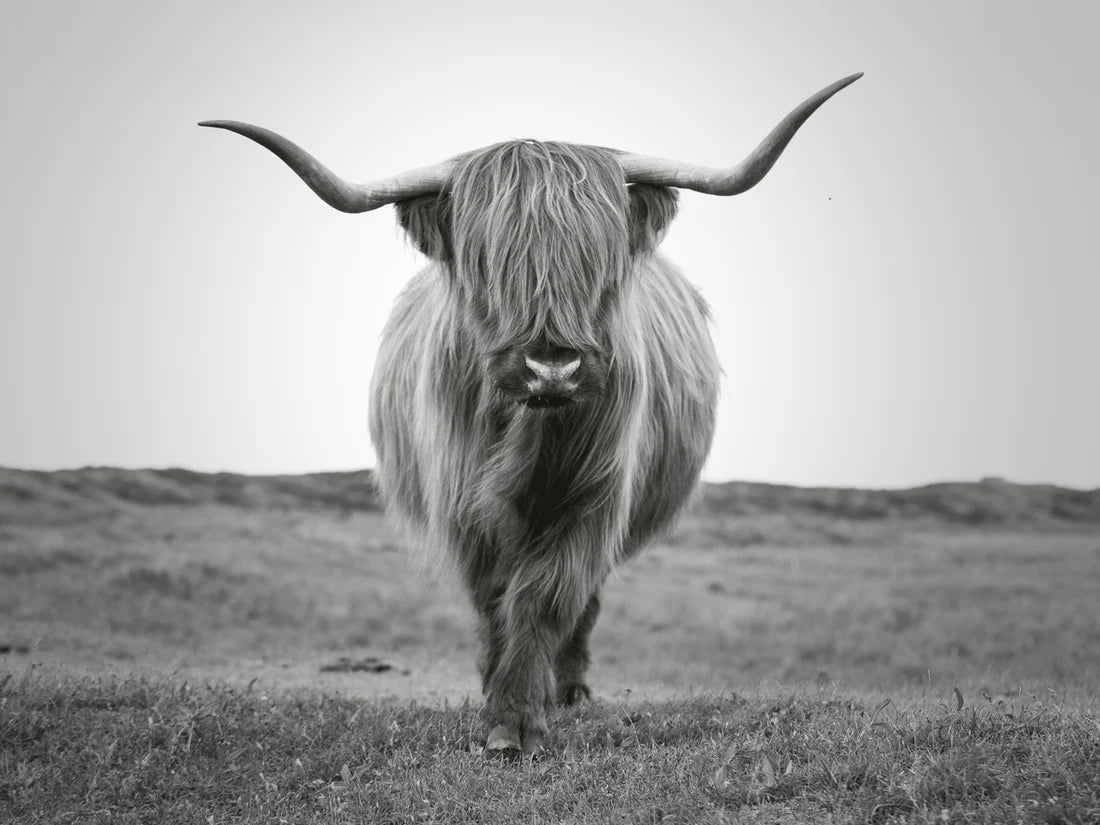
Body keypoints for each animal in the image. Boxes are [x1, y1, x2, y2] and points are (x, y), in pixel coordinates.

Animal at [201, 72, 861, 755]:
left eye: (599, 260)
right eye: (486, 262)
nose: (551, 368)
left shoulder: (593, 498)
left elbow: (547, 596)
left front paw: (519, 717)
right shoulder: (464, 504)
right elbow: (495, 599)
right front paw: (498, 705)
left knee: (583, 603)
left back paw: (567, 690)